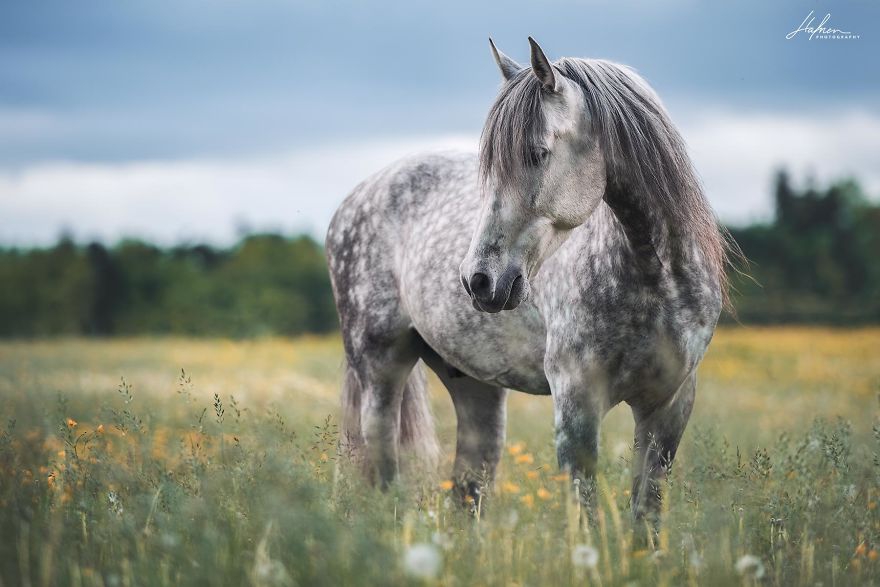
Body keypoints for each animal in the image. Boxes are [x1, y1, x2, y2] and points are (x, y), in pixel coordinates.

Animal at [324, 35, 728, 524]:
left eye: (536, 153)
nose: (479, 281)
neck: (655, 279)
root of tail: (356, 197)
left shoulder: (670, 405)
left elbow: (645, 514)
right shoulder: (576, 401)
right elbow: (585, 512)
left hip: (474, 387)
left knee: (468, 490)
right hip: (380, 369)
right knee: (385, 468)